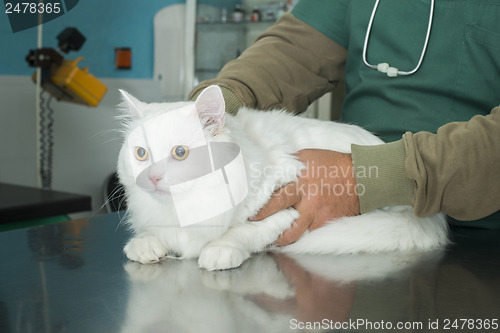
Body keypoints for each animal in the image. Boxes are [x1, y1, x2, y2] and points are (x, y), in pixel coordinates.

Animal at [118, 84, 450, 268]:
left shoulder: (286, 211)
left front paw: (219, 251)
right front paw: (145, 244)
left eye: (180, 153)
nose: (153, 178)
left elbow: (241, 232)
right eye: (141, 154)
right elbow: (151, 232)